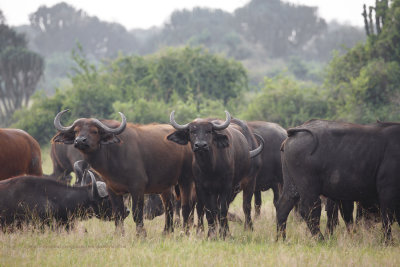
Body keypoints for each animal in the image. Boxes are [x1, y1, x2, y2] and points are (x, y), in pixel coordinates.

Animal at [167, 111, 264, 239]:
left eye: (209, 131)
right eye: (192, 131)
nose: (200, 145)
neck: (210, 168)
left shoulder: (228, 187)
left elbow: (223, 210)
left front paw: (224, 233)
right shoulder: (202, 188)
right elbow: (209, 211)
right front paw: (211, 234)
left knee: (245, 206)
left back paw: (247, 228)